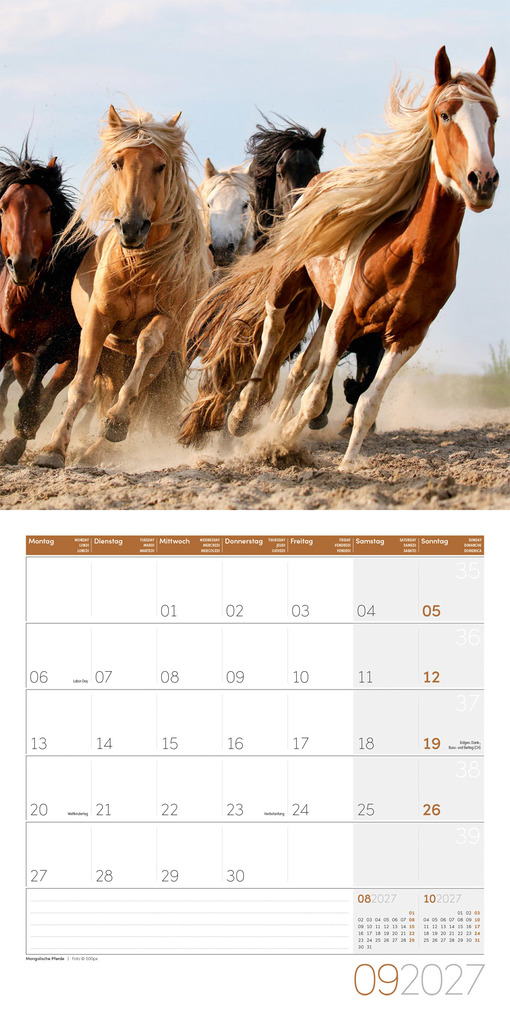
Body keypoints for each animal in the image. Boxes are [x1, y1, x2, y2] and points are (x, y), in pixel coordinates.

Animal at [0, 149, 87, 464]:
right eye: (3, 207)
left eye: (47, 208)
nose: (22, 264)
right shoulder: (9, 341)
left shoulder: (69, 339)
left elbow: (44, 358)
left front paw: (25, 420)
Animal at [34, 105, 210, 469]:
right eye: (117, 163)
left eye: (160, 166)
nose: (131, 227)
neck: (138, 267)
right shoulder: (98, 322)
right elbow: (81, 387)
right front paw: (53, 449)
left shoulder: (165, 320)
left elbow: (145, 347)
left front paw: (116, 422)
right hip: (114, 355)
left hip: (161, 359)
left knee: (138, 393)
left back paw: (98, 446)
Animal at [179, 47, 498, 468]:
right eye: (445, 114)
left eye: (494, 116)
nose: (483, 180)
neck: (412, 252)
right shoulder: (345, 317)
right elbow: (312, 395)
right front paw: (271, 439)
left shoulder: (407, 335)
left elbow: (364, 400)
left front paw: (342, 461)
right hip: (288, 284)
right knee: (272, 331)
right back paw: (242, 414)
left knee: (302, 368)